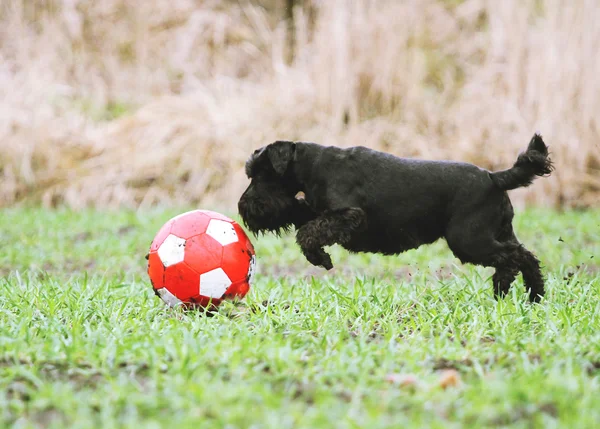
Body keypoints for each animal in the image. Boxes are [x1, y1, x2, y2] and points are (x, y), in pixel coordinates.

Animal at [238, 134, 552, 300]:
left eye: (262, 174)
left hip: (469, 240)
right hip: (496, 234)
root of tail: (493, 178)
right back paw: (527, 294)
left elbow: (308, 232)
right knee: (523, 256)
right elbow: (303, 216)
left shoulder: (349, 216)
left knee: (516, 257)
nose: (244, 207)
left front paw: (321, 258)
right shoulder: (318, 210)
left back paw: (515, 290)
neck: (312, 164)